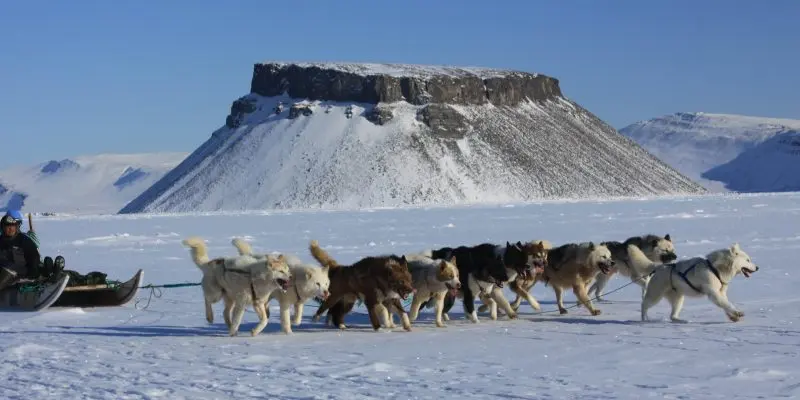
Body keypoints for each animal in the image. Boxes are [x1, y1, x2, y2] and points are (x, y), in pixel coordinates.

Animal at [628, 242, 760, 324]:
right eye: (748, 260)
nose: (757, 267)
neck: (715, 268)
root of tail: (660, 267)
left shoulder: (721, 293)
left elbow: (725, 304)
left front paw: (733, 316)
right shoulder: (713, 293)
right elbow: (727, 304)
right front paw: (737, 313)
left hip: (678, 298)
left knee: (672, 316)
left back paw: (683, 321)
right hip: (656, 294)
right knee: (644, 305)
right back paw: (644, 319)